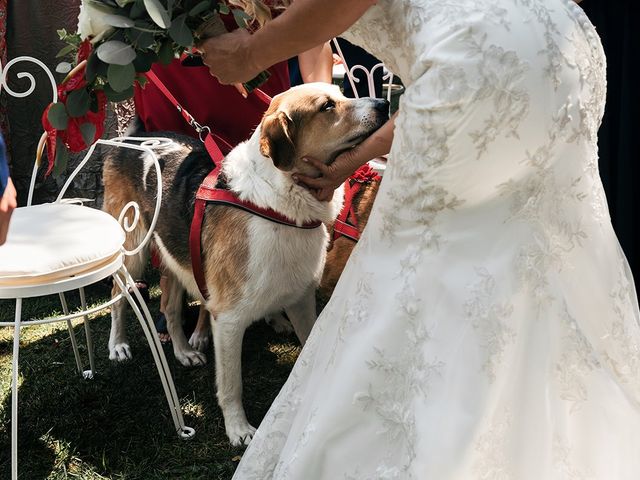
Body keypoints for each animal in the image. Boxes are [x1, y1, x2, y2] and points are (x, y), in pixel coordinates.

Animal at [101, 83, 390, 446]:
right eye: (327, 106)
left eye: (341, 93)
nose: (385, 103)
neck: (278, 206)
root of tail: (135, 137)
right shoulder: (228, 319)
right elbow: (231, 385)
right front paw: (238, 429)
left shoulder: (302, 300)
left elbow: (309, 346)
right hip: (133, 252)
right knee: (119, 297)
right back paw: (118, 345)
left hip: (172, 255)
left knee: (169, 306)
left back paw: (183, 352)